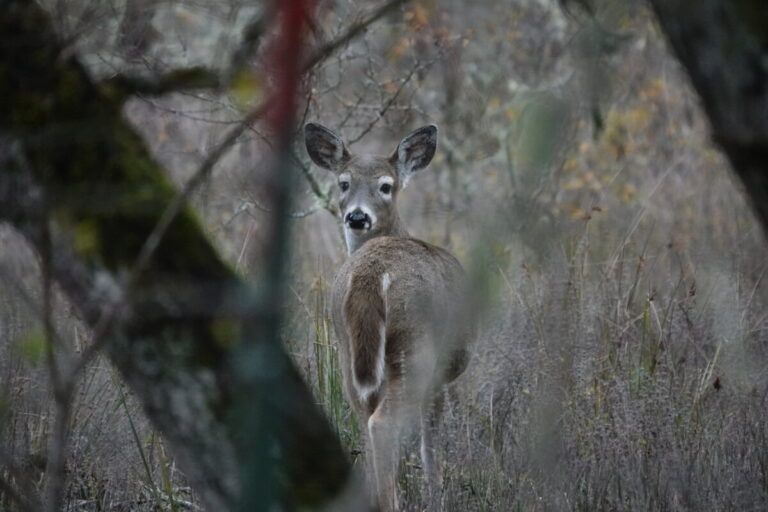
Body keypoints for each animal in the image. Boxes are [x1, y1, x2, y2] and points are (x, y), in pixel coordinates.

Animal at [306, 122, 474, 510]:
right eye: (344, 182)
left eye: (386, 186)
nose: (357, 216)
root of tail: (371, 275)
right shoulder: (441, 376)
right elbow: (430, 442)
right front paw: (435, 493)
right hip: (415, 347)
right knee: (383, 425)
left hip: (347, 355)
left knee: (366, 425)